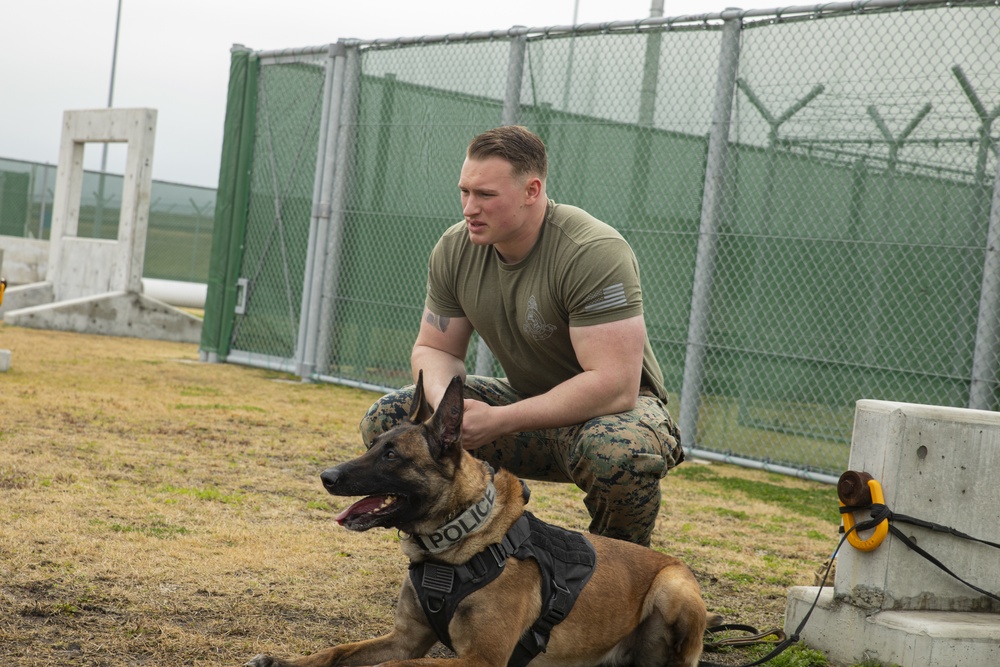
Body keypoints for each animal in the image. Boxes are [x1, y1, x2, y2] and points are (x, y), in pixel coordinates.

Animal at [250, 376, 720, 667]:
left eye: (392, 455)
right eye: (375, 446)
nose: (327, 477)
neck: (453, 546)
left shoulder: (480, 658)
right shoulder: (406, 638)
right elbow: (336, 651)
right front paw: (280, 660)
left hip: (672, 589)